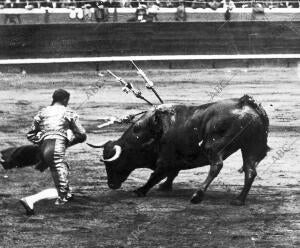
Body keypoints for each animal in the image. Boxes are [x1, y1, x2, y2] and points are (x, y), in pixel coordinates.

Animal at [88, 95, 270, 205]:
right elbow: (171, 173)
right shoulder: (173, 161)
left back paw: (197, 195)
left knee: (216, 166)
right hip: (249, 148)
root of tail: (244, 103)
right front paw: (165, 187)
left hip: (213, 146)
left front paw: (140, 190)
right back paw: (239, 199)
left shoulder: (164, 159)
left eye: (114, 162)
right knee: (250, 171)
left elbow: (156, 175)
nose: (111, 185)